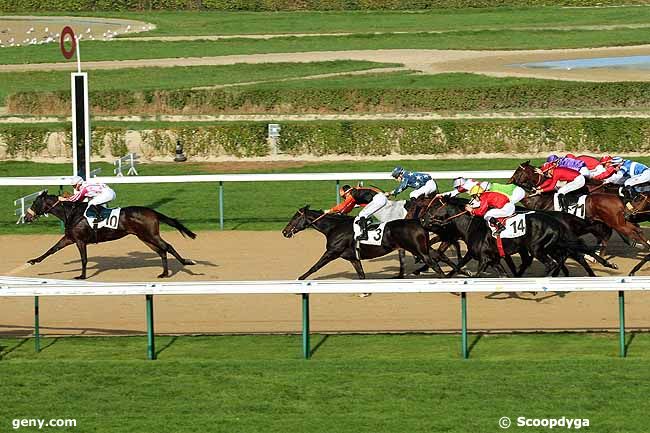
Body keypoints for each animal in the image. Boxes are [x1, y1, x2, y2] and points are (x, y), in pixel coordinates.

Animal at [23, 191, 195, 278]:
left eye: (35, 203)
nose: (26, 217)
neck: (71, 214)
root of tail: (152, 212)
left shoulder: (80, 241)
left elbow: (84, 259)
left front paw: (82, 276)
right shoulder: (70, 238)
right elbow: (51, 250)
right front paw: (33, 261)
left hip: (150, 235)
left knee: (168, 246)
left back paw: (187, 262)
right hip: (144, 237)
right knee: (162, 251)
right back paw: (164, 273)